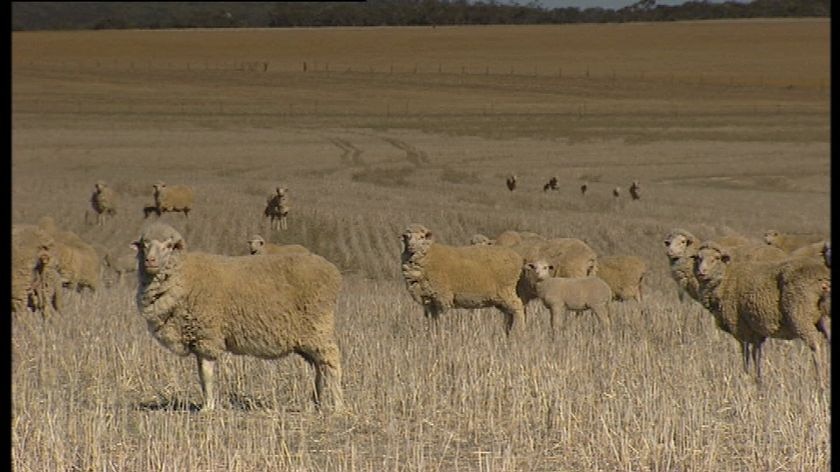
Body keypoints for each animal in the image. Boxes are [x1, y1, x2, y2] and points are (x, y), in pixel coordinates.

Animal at [131, 221, 342, 410]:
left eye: (168, 246)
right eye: (144, 245)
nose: (150, 261)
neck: (184, 275)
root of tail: (332, 271)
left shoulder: (207, 335)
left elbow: (206, 375)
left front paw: (208, 407)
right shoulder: (198, 338)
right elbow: (201, 374)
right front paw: (207, 404)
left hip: (318, 328)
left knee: (332, 362)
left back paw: (338, 405)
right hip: (308, 338)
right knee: (320, 368)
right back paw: (317, 402)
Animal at [692, 242, 832, 386]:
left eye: (716, 258)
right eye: (697, 258)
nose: (701, 272)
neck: (725, 279)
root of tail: (822, 279)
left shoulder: (741, 329)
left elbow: (746, 355)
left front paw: (745, 378)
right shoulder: (756, 332)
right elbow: (757, 356)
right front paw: (758, 382)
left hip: (800, 315)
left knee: (815, 346)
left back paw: (820, 382)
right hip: (823, 317)